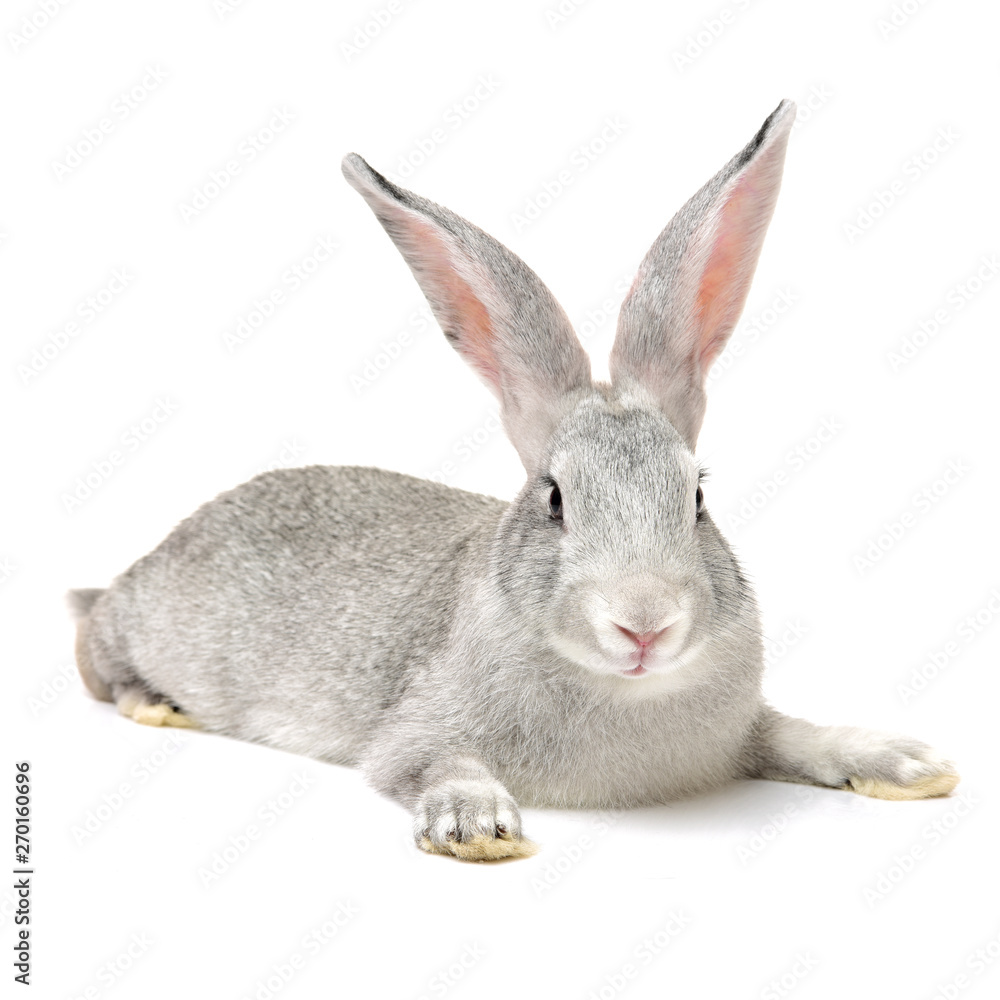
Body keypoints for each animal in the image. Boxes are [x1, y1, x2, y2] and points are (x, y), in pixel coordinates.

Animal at [69, 99, 958, 862]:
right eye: (555, 498)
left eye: (698, 497)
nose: (644, 625)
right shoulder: (414, 734)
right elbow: (432, 764)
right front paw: (477, 826)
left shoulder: (748, 729)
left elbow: (794, 735)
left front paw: (908, 764)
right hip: (141, 625)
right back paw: (154, 702)